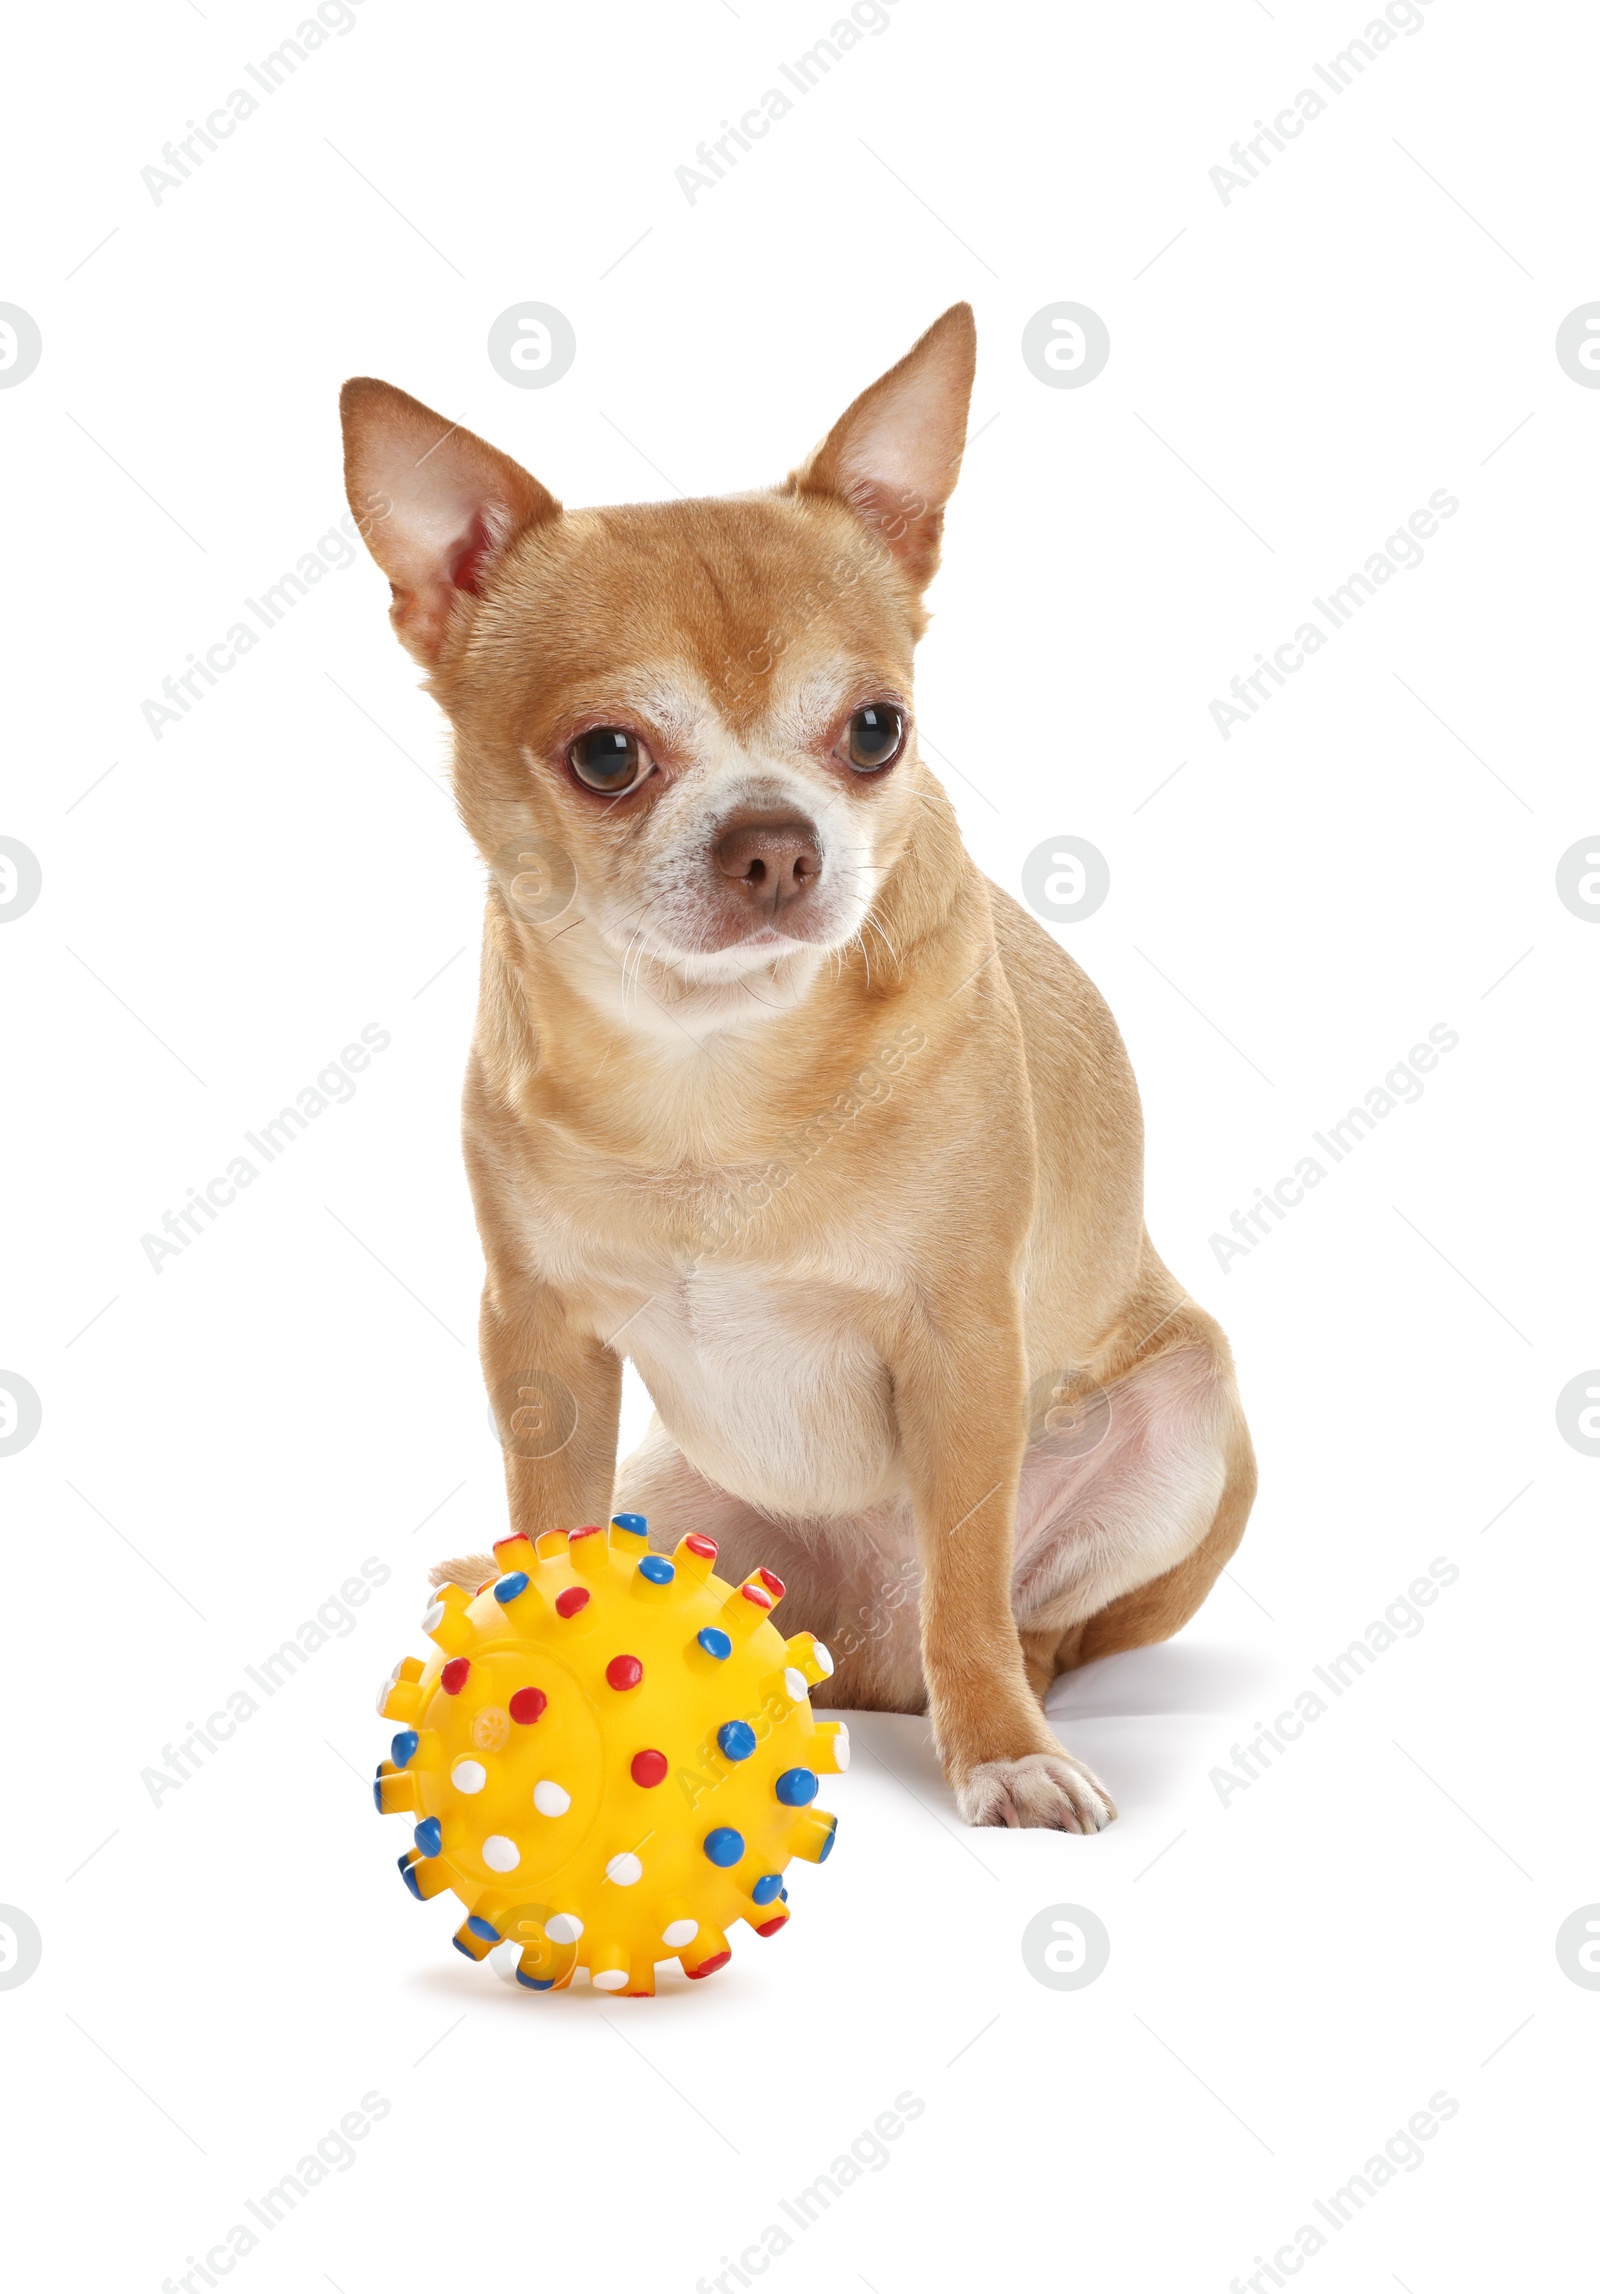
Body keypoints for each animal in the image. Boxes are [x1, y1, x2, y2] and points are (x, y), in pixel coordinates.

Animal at [344, 314, 1257, 1835]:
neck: (711, 1062)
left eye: (875, 729)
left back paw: (1006, 1689)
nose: (774, 838)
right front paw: (536, 1702)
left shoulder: (964, 1342)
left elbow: (969, 1581)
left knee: (1009, 1616)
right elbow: (550, 1525)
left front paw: (1002, 1749)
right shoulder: (541, 1341)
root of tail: (851, 1648)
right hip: (676, 1489)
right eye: (608, 755)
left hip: (1187, 1411)